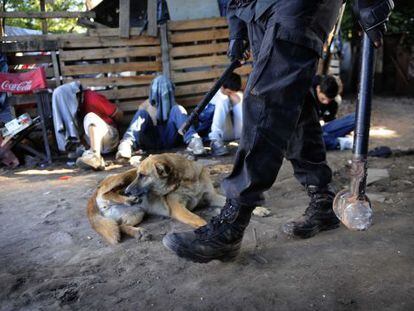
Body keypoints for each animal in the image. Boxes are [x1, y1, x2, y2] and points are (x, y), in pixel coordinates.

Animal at [85, 154, 225, 246]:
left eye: (142, 176)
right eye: (139, 175)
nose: (127, 191)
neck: (186, 180)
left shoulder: (212, 197)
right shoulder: (178, 208)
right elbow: (198, 219)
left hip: (137, 212)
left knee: (121, 225)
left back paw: (138, 231)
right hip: (124, 177)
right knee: (106, 193)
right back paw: (127, 200)